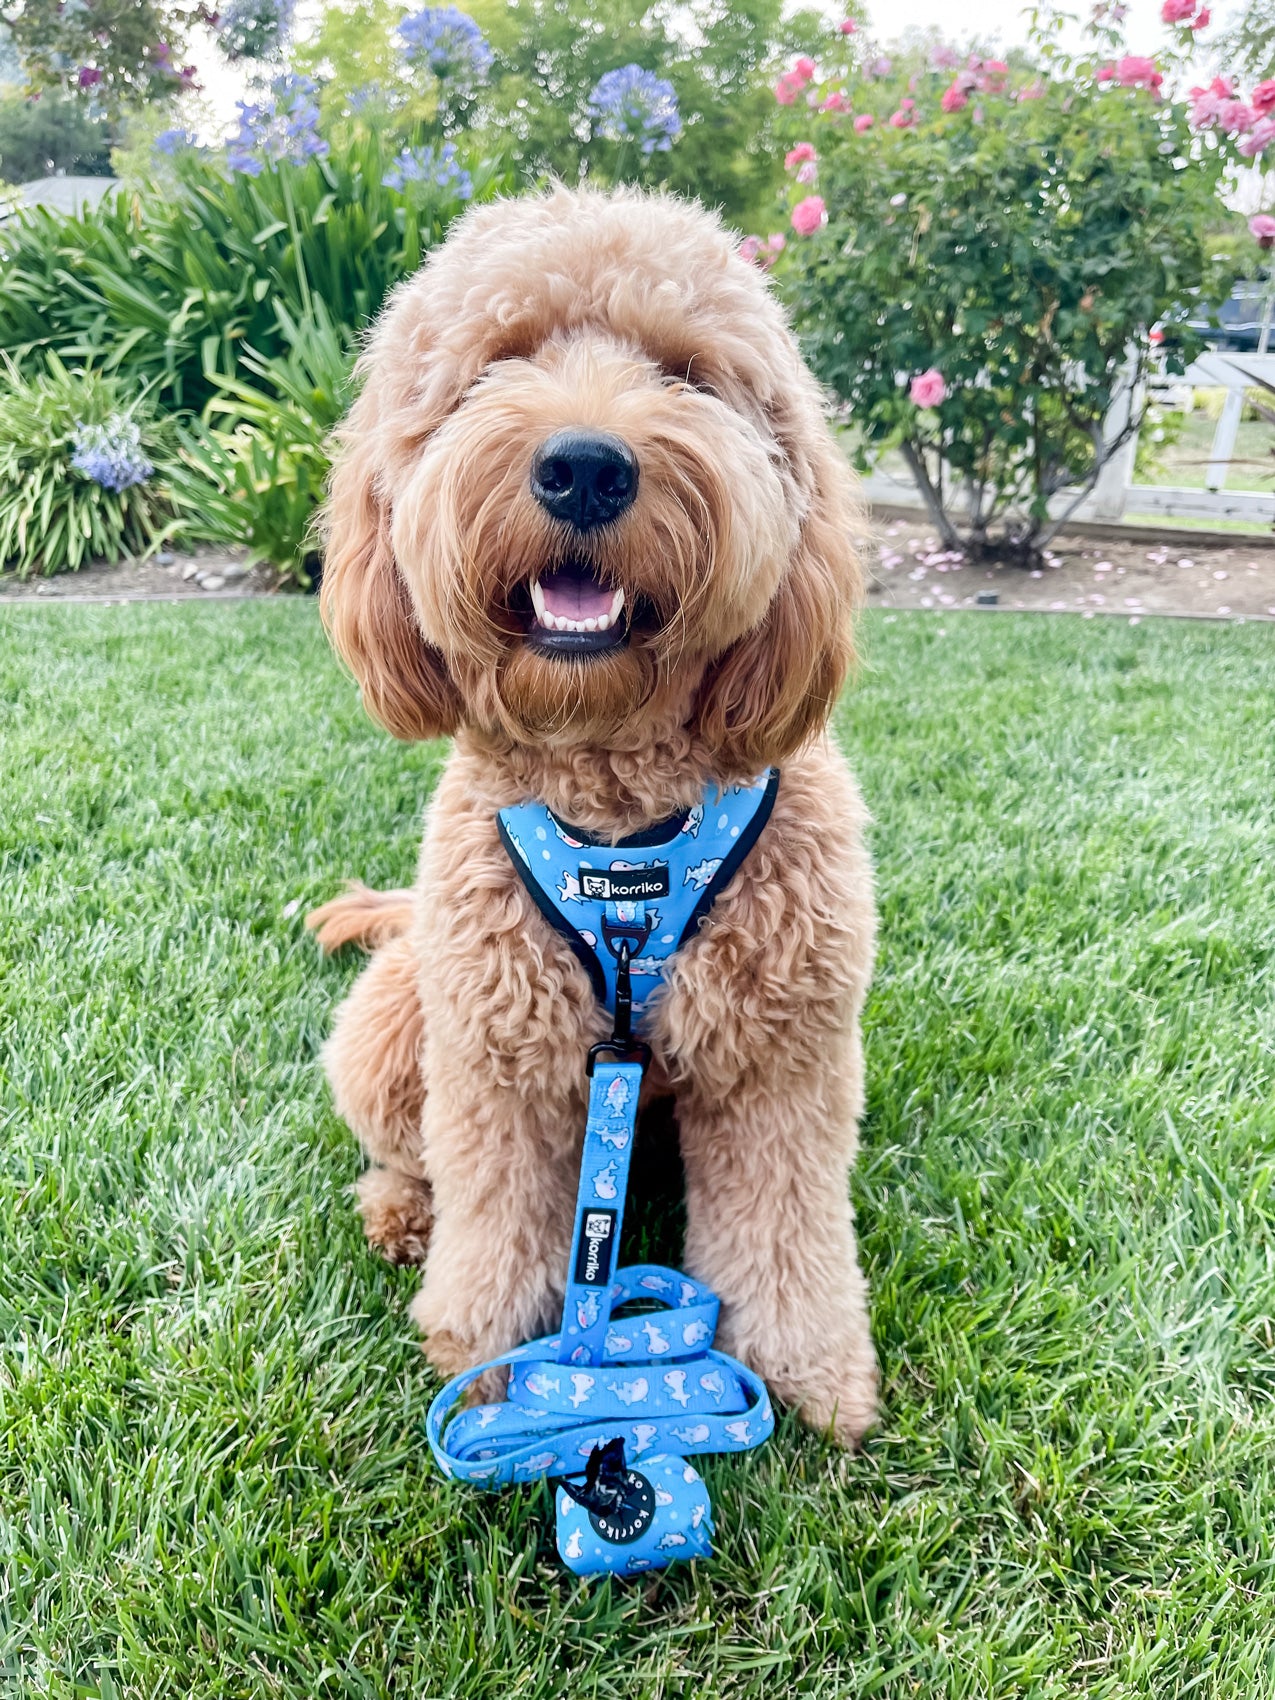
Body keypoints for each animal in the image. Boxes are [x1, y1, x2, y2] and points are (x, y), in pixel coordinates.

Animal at [314, 189, 884, 1448]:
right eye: (497, 362)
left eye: (686, 373)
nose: (583, 467)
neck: (624, 826)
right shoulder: (496, 1052)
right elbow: (493, 1212)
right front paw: (488, 1362)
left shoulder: (785, 1055)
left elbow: (787, 1222)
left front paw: (813, 1371)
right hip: (397, 1015)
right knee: (405, 1151)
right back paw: (401, 1214)